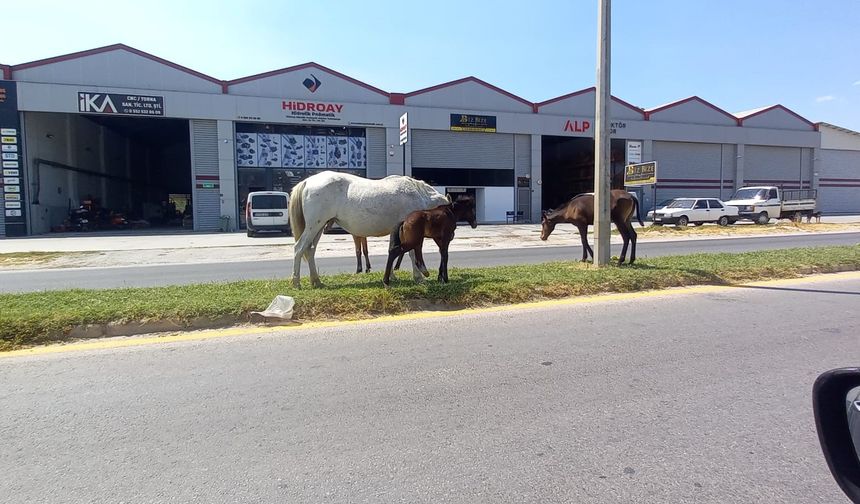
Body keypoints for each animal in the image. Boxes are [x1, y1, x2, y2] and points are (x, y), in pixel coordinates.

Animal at [288, 171, 450, 288]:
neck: (418, 195)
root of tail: (307, 182)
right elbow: (411, 253)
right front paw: (419, 277)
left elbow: (393, 250)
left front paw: (391, 275)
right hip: (314, 226)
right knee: (299, 248)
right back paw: (296, 283)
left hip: (318, 227)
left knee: (310, 250)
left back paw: (316, 281)